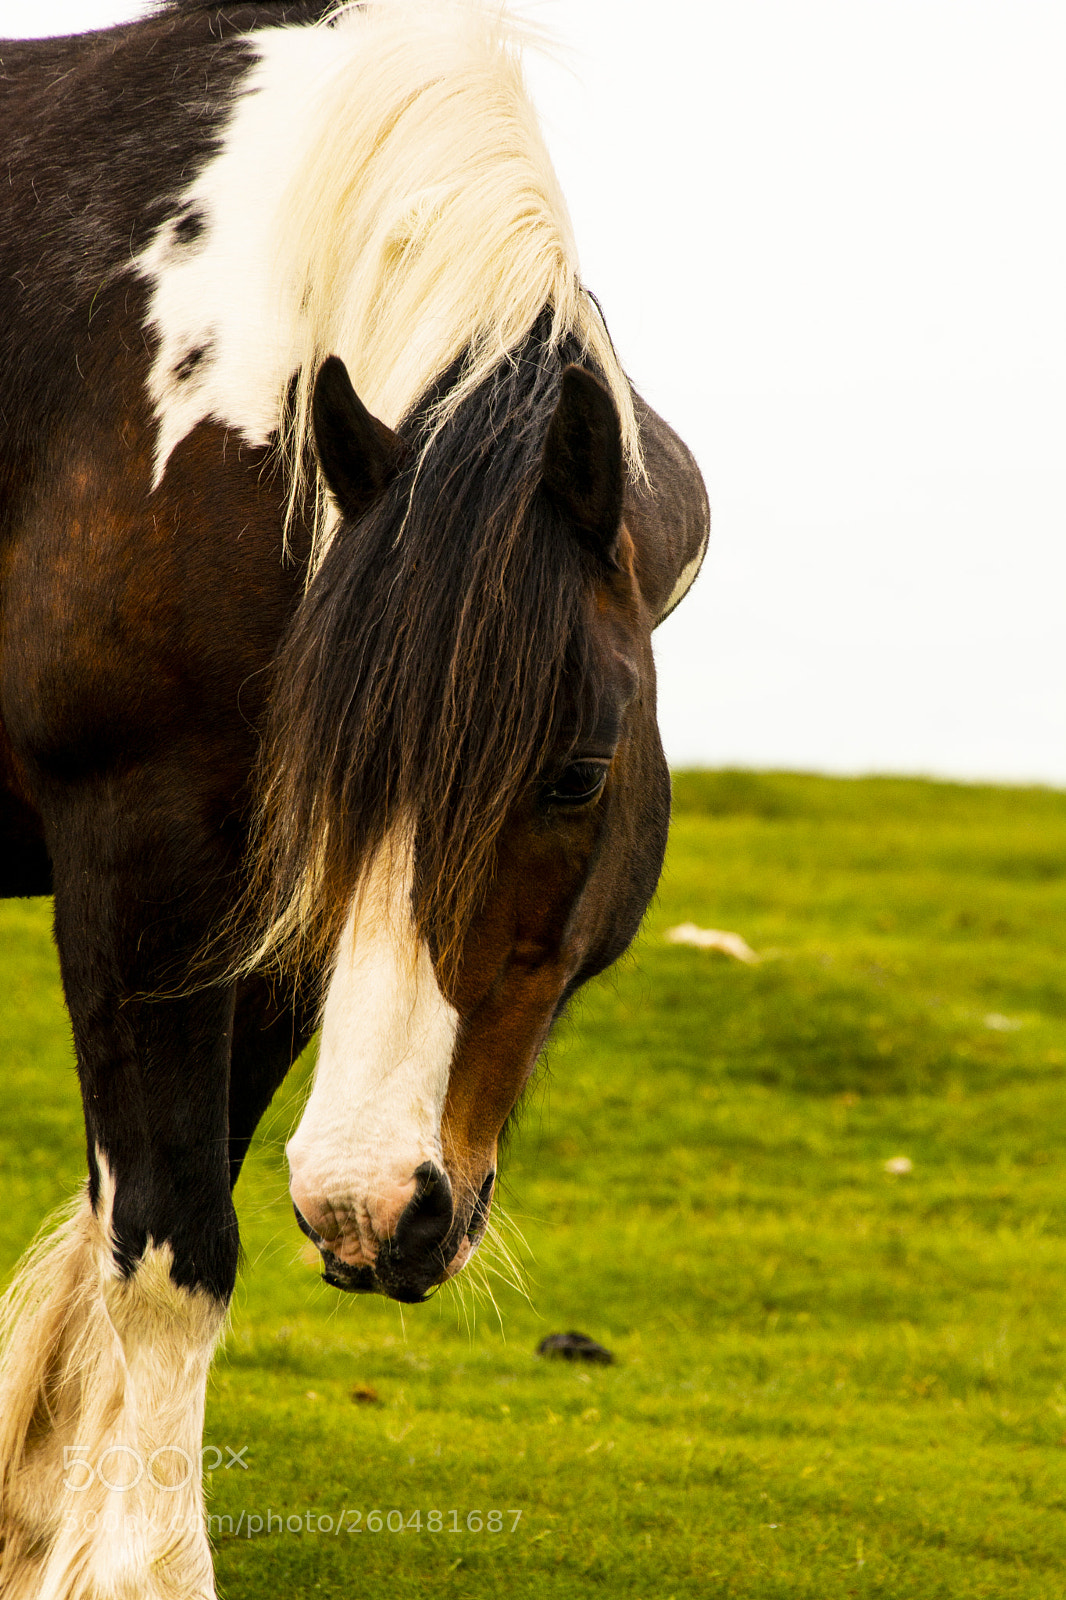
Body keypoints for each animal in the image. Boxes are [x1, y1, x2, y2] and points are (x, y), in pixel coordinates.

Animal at [0, 3, 708, 1595]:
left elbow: (141, 1212)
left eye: (575, 776)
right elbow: (166, 1245)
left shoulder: (252, 914)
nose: (369, 1208)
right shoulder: (136, 846)